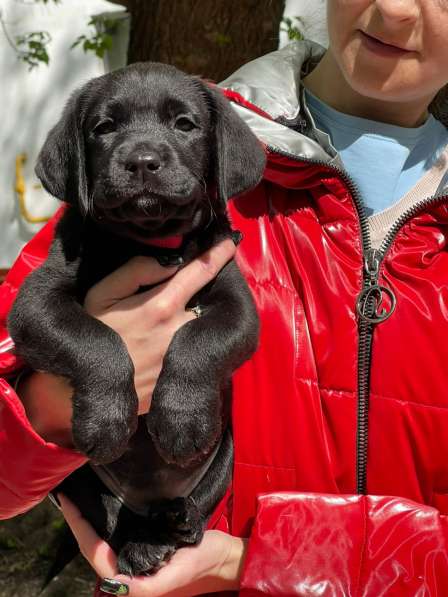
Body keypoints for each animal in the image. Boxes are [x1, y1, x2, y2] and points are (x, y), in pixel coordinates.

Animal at [7, 62, 266, 576]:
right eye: (104, 128)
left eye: (184, 124)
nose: (143, 161)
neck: (148, 242)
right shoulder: (35, 303)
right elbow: (96, 339)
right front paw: (107, 420)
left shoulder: (237, 306)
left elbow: (199, 339)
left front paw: (181, 419)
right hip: (77, 480)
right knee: (113, 518)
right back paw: (142, 542)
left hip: (226, 451)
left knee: (194, 508)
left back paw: (175, 524)